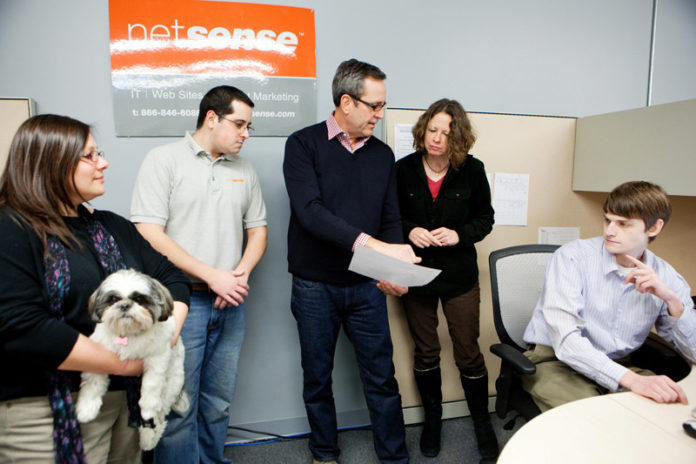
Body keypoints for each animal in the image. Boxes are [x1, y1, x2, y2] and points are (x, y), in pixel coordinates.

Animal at [77, 268, 188, 450]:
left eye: (139, 299)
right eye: (113, 299)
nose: (124, 305)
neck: (129, 333)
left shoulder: (158, 357)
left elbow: (152, 383)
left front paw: (148, 406)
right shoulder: (99, 351)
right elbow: (93, 382)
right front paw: (87, 408)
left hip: (171, 385)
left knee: (159, 418)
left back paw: (149, 437)